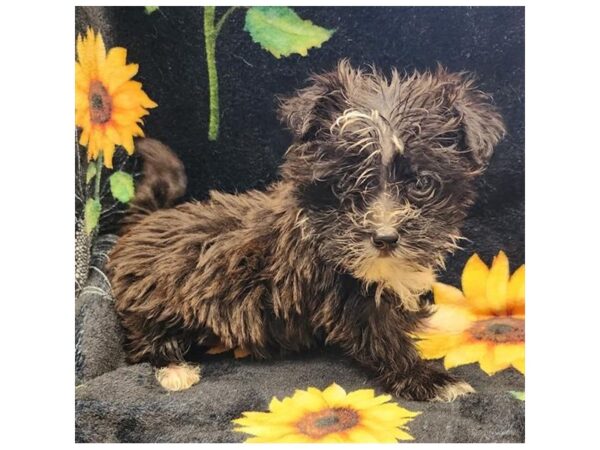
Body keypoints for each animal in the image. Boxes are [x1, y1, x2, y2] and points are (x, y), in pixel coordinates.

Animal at [105, 60, 504, 400]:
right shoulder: (349, 301)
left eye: (421, 183)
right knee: (144, 339)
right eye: (346, 183)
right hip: (155, 298)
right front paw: (431, 380)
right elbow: (384, 339)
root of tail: (145, 222)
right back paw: (173, 369)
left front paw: (456, 318)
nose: (385, 237)